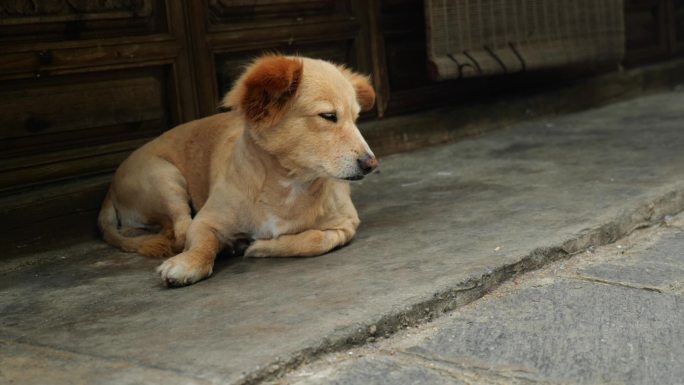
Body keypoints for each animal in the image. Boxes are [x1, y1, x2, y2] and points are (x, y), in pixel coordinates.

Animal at [98, 55, 380, 286]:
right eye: (328, 116)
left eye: (356, 119)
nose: (372, 164)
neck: (286, 184)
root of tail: (110, 189)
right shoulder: (206, 221)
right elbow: (201, 242)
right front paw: (188, 263)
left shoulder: (345, 225)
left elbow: (315, 240)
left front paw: (260, 247)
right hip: (164, 177)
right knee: (178, 230)